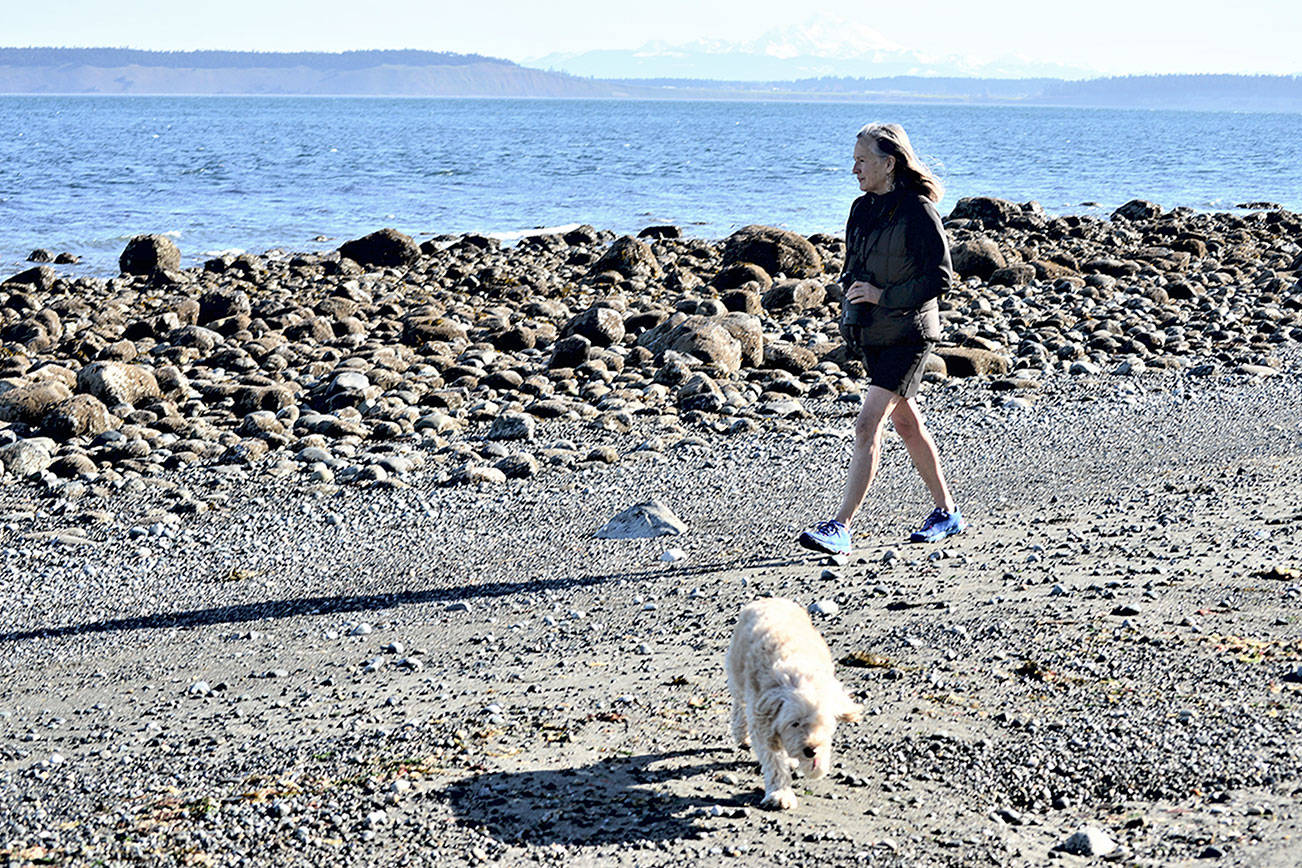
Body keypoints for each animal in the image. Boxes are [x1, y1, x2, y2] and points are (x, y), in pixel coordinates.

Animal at [729, 598, 859, 806]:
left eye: (822, 724)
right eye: (794, 723)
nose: (810, 751)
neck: (799, 674)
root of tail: (768, 600)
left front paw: (817, 767)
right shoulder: (762, 718)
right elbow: (774, 760)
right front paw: (780, 794)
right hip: (738, 674)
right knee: (739, 706)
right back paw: (742, 734)